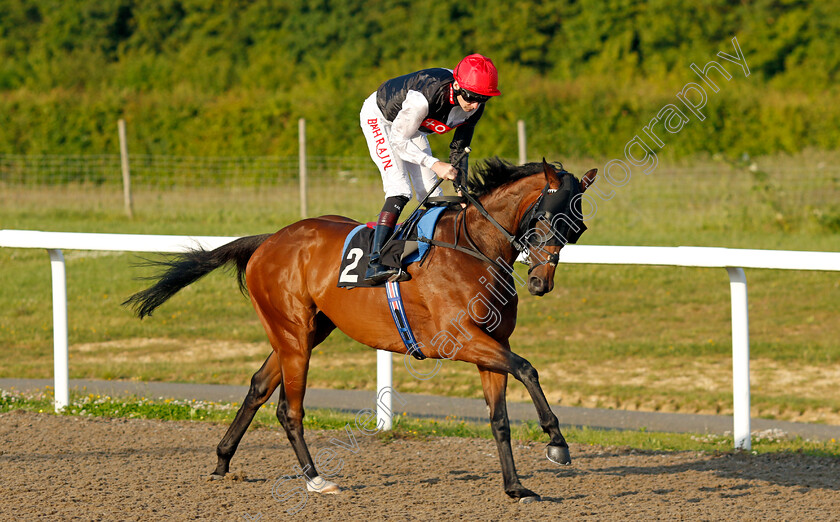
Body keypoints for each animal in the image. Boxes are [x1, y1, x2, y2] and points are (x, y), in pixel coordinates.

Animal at [124, 157, 596, 500]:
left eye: (578, 227)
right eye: (548, 219)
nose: (540, 283)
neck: (472, 247)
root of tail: (269, 239)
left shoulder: (492, 343)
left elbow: (499, 418)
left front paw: (515, 487)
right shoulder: (459, 340)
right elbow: (528, 368)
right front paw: (557, 441)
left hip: (306, 331)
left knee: (259, 385)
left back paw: (223, 461)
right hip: (294, 334)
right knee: (288, 409)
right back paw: (316, 480)